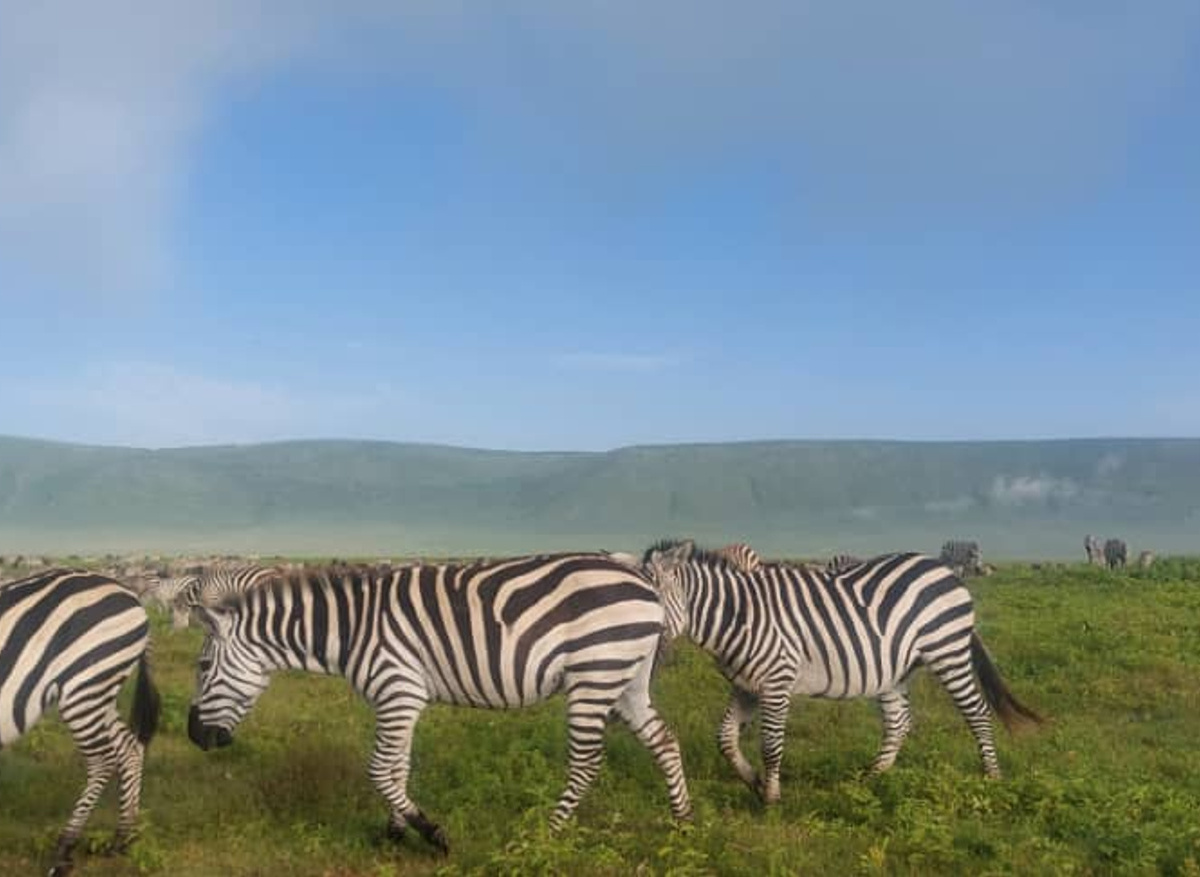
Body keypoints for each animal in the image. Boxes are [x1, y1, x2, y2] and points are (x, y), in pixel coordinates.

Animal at [1, 569, 161, 876]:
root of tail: (129, 593)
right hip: (100, 693)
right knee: (130, 748)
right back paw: (123, 837)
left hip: (84, 686)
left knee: (102, 761)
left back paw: (64, 851)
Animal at [187, 555, 692, 851]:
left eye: (203, 665)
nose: (194, 736)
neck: (349, 632)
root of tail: (643, 581)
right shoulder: (400, 700)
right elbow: (399, 767)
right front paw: (394, 834)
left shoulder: (397, 690)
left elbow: (379, 770)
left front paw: (432, 833)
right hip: (624, 680)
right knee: (665, 742)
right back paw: (683, 823)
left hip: (594, 673)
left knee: (586, 762)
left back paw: (545, 835)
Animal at [641, 539, 1041, 805]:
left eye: (649, 598)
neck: (739, 616)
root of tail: (944, 570)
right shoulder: (747, 685)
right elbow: (724, 738)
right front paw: (753, 781)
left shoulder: (776, 681)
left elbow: (771, 744)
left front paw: (771, 797)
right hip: (894, 670)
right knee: (899, 722)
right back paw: (871, 779)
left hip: (948, 651)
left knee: (977, 712)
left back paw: (991, 778)